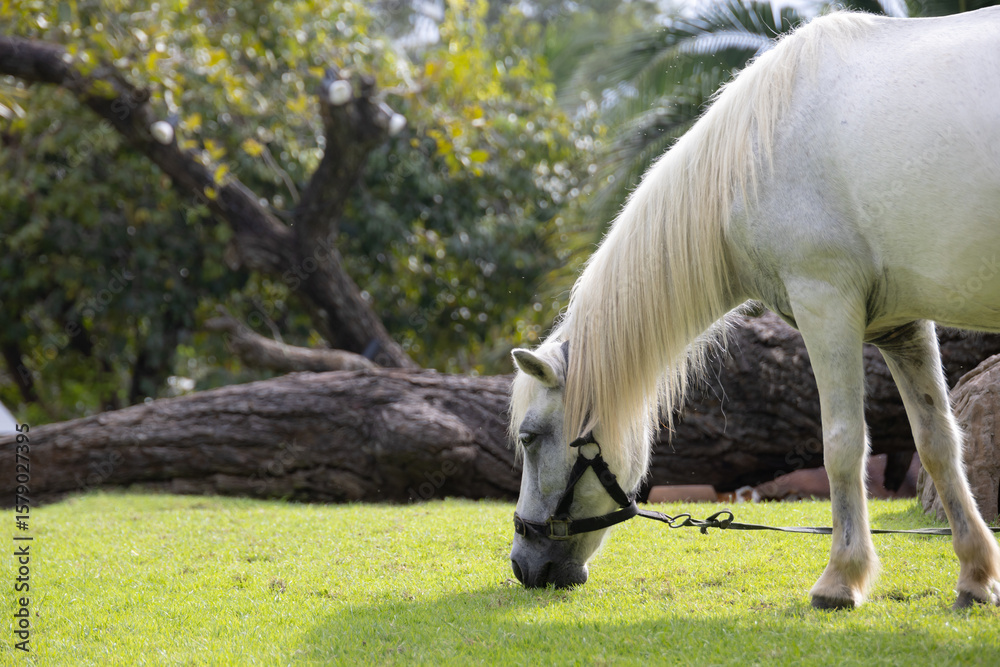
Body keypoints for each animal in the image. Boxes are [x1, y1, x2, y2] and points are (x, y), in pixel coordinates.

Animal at [508, 8, 1000, 609]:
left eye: (529, 438)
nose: (523, 565)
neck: (754, 155)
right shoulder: (900, 326)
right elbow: (939, 444)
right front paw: (976, 576)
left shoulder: (826, 303)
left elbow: (842, 444)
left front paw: (841, 578)